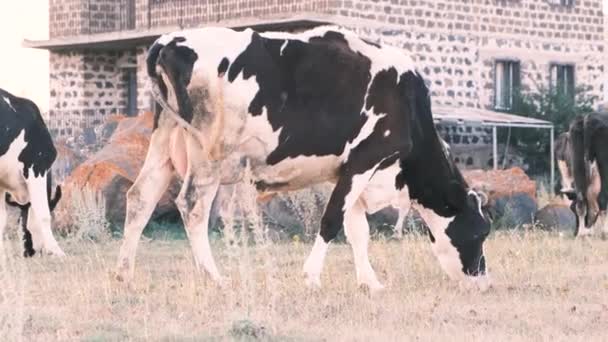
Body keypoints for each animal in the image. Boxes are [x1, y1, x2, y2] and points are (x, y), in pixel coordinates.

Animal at [114, 25, 492, 290]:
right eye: (481, 231)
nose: (483, 279)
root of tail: (168, 41)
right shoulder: (366, 159)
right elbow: (332, 221)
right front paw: (311, 277)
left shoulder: (345, 170)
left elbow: (357, 229)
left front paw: (370, 283)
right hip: (208, 154)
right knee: (191, 205)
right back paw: (214, 277)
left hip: (164, 139)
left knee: (141, 196)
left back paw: (125, 275)